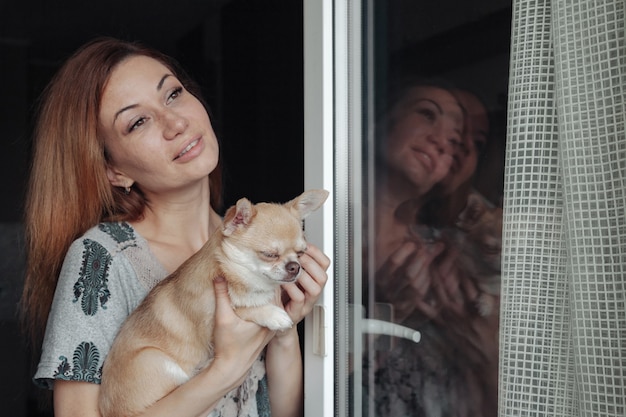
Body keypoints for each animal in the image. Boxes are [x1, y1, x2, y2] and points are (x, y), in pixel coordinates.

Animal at [98, 188, 326, 416]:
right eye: (270, 254)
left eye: (301, 253)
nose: (295, 267)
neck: (244, 281)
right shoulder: (212, 325)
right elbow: (243, 308)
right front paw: (272, 314)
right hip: (155, 360)